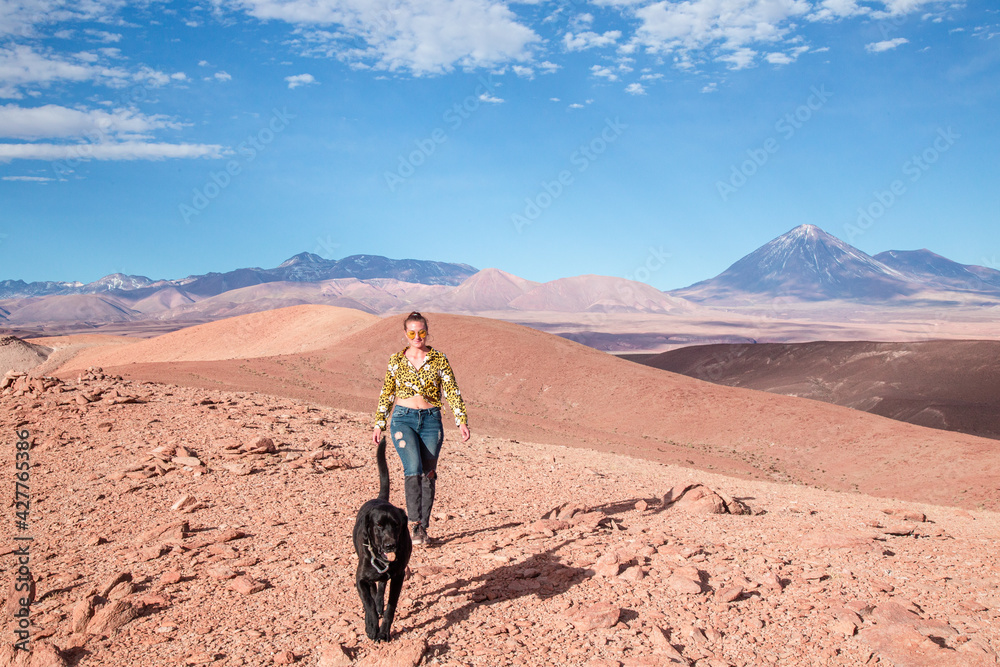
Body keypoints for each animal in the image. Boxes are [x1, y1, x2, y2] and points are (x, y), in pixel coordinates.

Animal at [354, 438, 412, 640]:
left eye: (397, 525)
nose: (390, 545)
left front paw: (384, 631)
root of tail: (380, 499)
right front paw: (371, 625)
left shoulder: (398, 576)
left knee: (380, 587)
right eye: (378, 525)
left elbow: (390, 606)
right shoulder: (360, 579)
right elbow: (368, 602)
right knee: (373, 592)